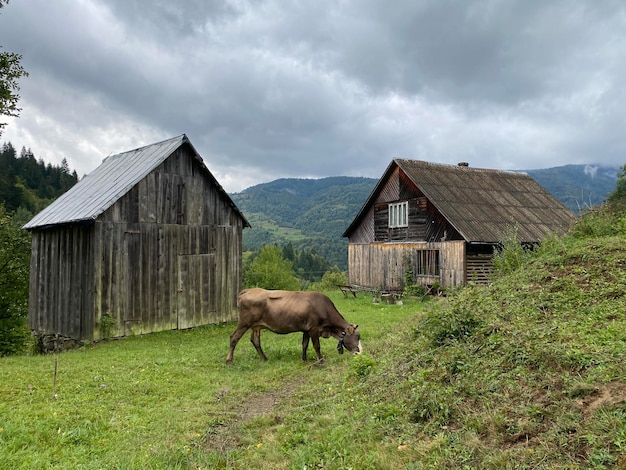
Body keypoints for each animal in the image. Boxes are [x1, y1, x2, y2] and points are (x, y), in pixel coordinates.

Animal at [224, 288, 360, 366]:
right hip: (244, 322)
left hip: (256, 326)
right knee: (233, 337)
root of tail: (248, 290)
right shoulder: (314, 328)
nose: (358, 352)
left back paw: (264, 358)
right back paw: (229, 360)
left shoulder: (307, 329)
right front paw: (321, 360)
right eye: (358, 336)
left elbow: (305, 344)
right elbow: (316, 345)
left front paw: (304, 359)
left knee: (255, 340)